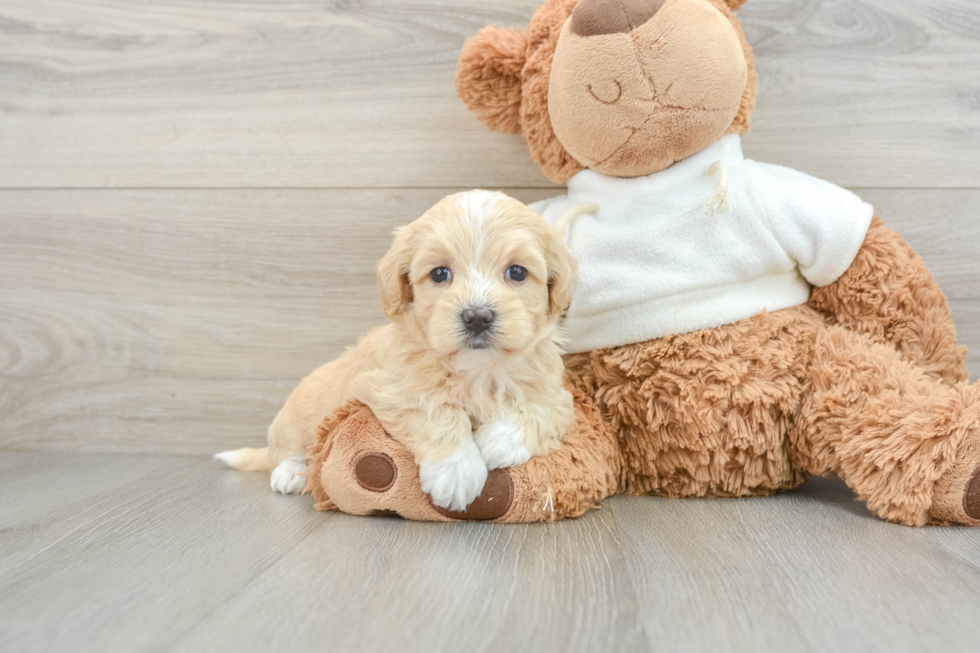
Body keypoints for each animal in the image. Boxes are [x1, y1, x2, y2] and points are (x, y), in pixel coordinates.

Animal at [216, 188, 576, 510]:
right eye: (439, 274)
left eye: (517, 272)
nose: (477, 317)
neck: (479, 369)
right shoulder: (390, 387)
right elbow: (434, 409)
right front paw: (456, 470)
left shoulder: (557, 394)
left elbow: (540, 411)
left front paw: (493, 443)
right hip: (298, 415)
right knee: (288, 449)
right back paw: (291, 473)